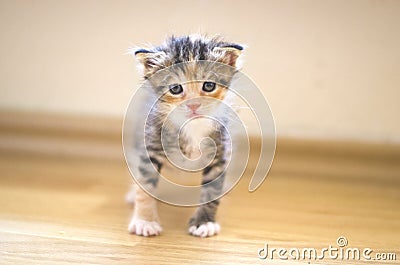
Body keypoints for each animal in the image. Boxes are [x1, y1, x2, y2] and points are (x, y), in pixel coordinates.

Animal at [127, 34, 244, 235]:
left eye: (209, 85)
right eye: (175, 89)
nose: (193, 105)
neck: (192, 127)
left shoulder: (220, 153)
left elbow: (212, 191)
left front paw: (204, 222)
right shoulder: (150, 146)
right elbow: (145, 187)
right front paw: (145, 221)